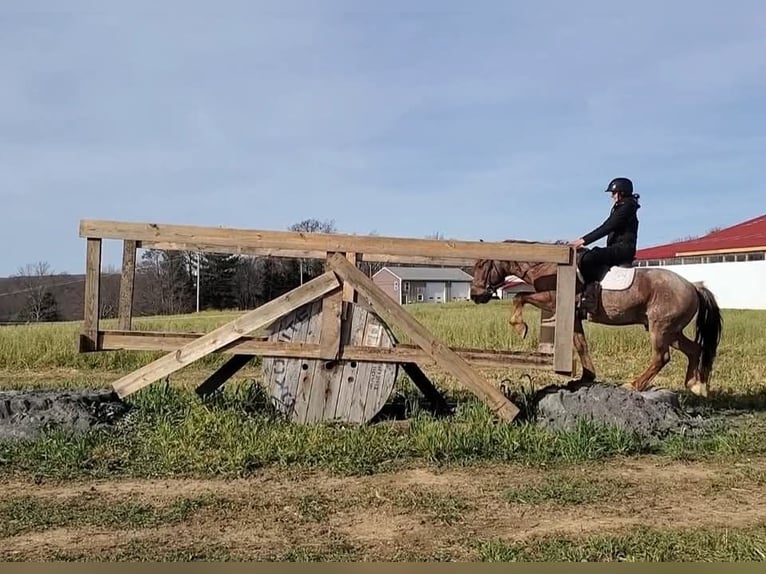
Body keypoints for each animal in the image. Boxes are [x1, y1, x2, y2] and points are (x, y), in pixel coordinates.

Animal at [468, 241, 728, 398]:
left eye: (481, 265)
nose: (475, 295)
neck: (551, 267)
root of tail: (693, 285)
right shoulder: (573, 317)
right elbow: (581, 344)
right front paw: (585, 379)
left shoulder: (551, 302)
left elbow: (519, 297)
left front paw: (520, 327)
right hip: (671, 331)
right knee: (694, 349)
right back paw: (696, 385)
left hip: (660, 329)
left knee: (661, 357)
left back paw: (634, 384)